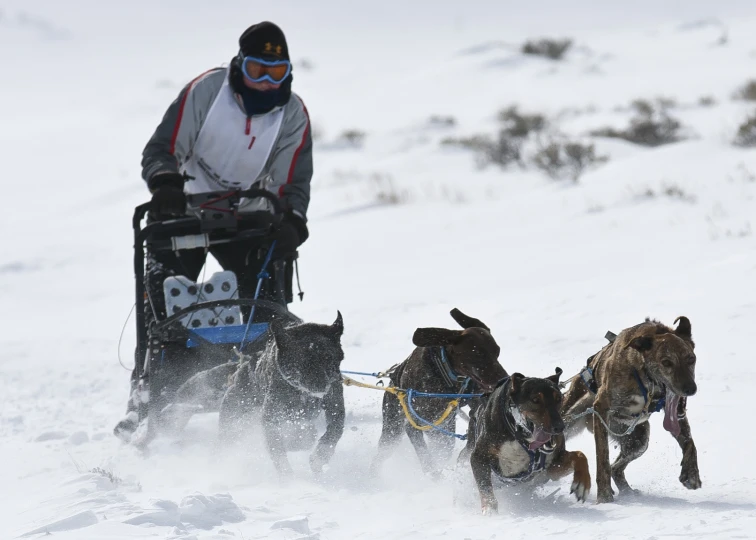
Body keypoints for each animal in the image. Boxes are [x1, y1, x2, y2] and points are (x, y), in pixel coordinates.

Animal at [219, 310, 346, 474]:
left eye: (327, 357)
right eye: (301, 361)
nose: (320, 385)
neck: (302, 393)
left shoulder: (335, 405)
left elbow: (334, 431)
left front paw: (320, 457)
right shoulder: (270, 418)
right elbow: (278, 451)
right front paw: (287, 476)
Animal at [368, 308, 504, 476]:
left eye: (497, 352)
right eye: (477, 353)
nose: (504, 377)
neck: (444, 373)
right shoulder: (413, 425)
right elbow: (426, 458)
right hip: (393, 430)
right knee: (380, 455)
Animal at [458, 368, 592, 516]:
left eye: (559, 398)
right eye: (535, 400)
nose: (559, 427)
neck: (520, 437)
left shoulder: (550, 468)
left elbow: (580, 455)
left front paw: (582, 483)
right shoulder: (478, 457)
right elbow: (485, 488)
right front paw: (490, 510)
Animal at [560, 316, 704, 502]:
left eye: (691, 359)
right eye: (666, 362)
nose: (690, 389)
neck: (645, 377)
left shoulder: (677, 413)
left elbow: (689, 442)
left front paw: (691, 473)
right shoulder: (600, 408)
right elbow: (602, 459)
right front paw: (604, 497)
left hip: (638, 440)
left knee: (616, 468)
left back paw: (628, 491)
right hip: (568, 418)